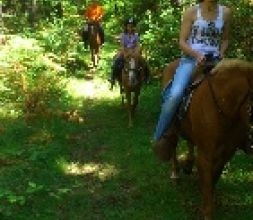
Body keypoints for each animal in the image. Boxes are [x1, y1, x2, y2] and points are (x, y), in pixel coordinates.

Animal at [153, 58, 253, 220]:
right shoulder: (205, 155)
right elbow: (207, 183)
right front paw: (206, 212)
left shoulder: (227, 153)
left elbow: (213, 178)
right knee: (173, 144)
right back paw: (175, 173)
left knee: (189, 141)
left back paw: (188, 164)